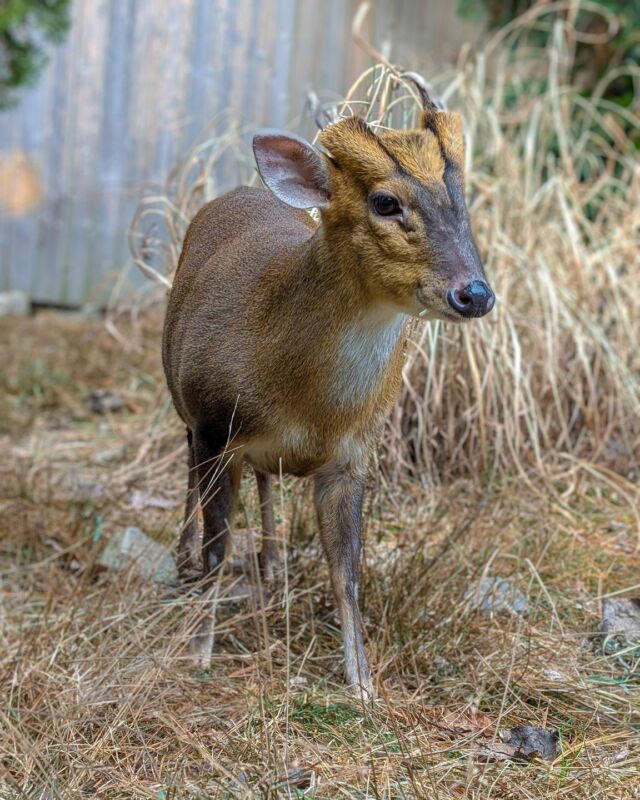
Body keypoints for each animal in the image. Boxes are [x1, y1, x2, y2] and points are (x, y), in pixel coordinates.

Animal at [162, 76, 492, 700]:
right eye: (385, 202)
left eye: (463, 199)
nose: (475, 293)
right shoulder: (216, 426)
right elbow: (219, 547)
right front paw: (198, 652)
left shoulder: (353, 454)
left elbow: (348, 573)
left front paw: (363, 684)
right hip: (184, 405)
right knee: (192, 480)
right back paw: (183, 564)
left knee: (267, 485)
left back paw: (271, 572)